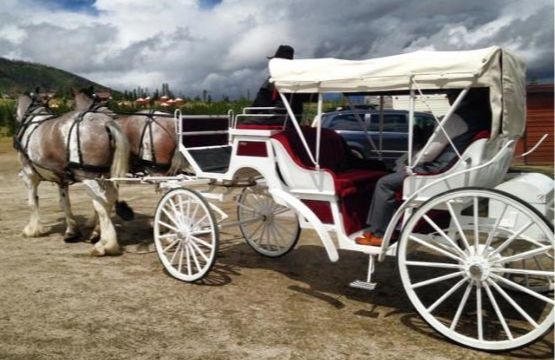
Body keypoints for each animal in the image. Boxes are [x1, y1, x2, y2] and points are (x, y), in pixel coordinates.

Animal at [14, 90, 131, 256]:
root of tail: (105, 123)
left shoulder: (29, 176)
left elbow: (32, 202)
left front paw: (32, 229)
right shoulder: (61, 179)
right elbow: (65, 203)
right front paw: (71, 231)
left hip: (89, 177)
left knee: (102, 202)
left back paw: (105, 244)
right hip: (105, 175)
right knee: (109, 199)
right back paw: (99, 234)